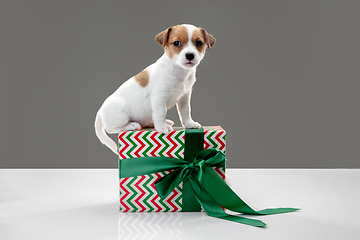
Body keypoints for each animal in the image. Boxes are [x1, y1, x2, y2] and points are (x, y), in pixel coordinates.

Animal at [94, 23, 215, 154]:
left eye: (199, 43)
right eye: (176, 43)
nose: (190, 55)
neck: (178, 71)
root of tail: (100, 110)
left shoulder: (185, 97)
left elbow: (185, 111)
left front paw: (189, 123)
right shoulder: (159, 97)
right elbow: (160, 112)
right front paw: (162, 126)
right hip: (121, 116)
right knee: (111, 128)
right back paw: (131, 125)